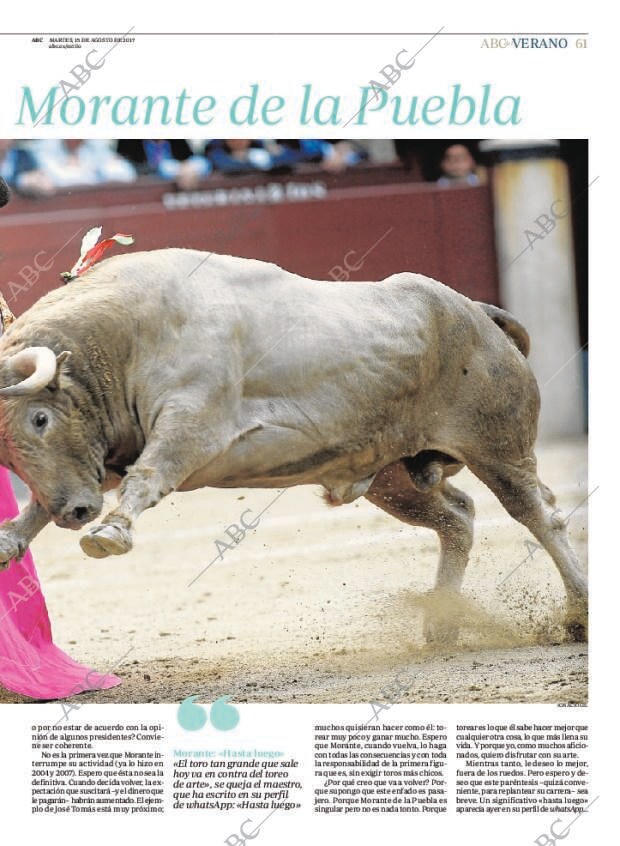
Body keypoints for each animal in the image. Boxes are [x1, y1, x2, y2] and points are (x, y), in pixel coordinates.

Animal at [0, 245, 588, 644]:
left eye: (39, 419)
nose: (77, 513)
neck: (122, 337)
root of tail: (477, 312)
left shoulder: (190, 426)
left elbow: (150, 475)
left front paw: (111, 533)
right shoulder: (105, 455)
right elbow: (45, 501)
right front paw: (13, 539)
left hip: (498, 448)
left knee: (539, 516)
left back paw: (577, 615)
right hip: (393, 477)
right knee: (459, 518)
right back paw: (442, 626)